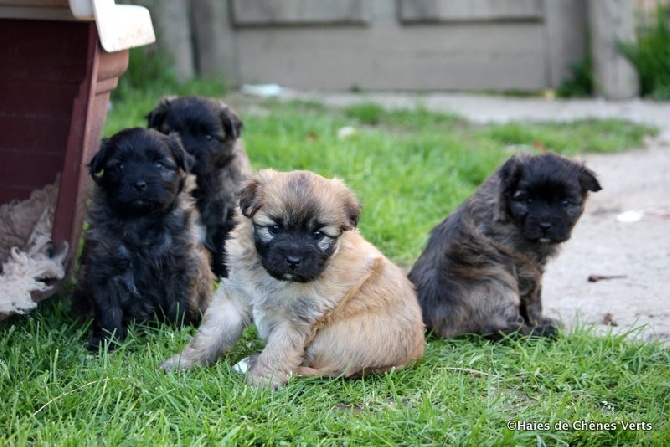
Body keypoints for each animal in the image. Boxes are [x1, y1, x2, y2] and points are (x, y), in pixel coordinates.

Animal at [71, 128, 214, 352]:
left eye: (159, 164)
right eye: (120, 165)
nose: (139, 185)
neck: (141, 221)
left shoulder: (182, 265)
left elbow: (182, 301)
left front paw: (179, 331)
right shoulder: (103, 271)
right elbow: (108, 310)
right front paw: (106, 340)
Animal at [160, 171, 428, 388]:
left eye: (318, 234)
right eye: (274, 228)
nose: (293, 259)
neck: (275, 279)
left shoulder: (297, 320)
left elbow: (278, 353)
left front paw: (260, 384)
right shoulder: (233, 298)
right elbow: (209, 336)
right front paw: (183, 363)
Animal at [410, 153, 604, 340]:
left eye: (565, 202)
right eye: (528, 200)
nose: (545, 226)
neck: (511, 214)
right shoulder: (529, 269)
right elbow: (535, 301)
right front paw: (540, 322)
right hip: (499, 285)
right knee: (501, 330)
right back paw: (542, 332)